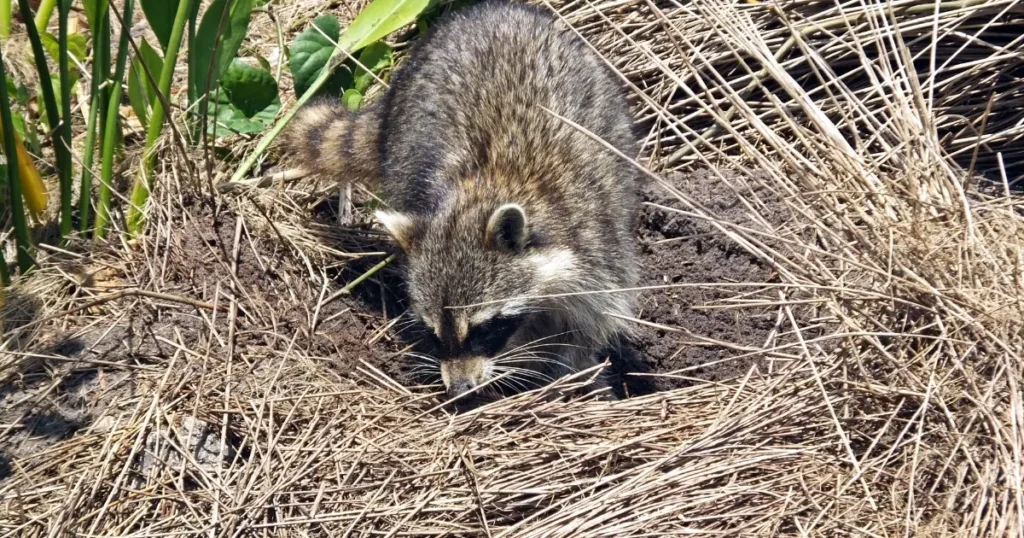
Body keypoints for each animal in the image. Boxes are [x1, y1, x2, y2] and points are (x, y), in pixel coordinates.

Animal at [288, 1, 634, 397]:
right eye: (435, 334)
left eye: (483, 329)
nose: (459, 388)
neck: (490, 185)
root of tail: (486, 11)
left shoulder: (595, 239)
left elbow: (588, 323)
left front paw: (568, 371)